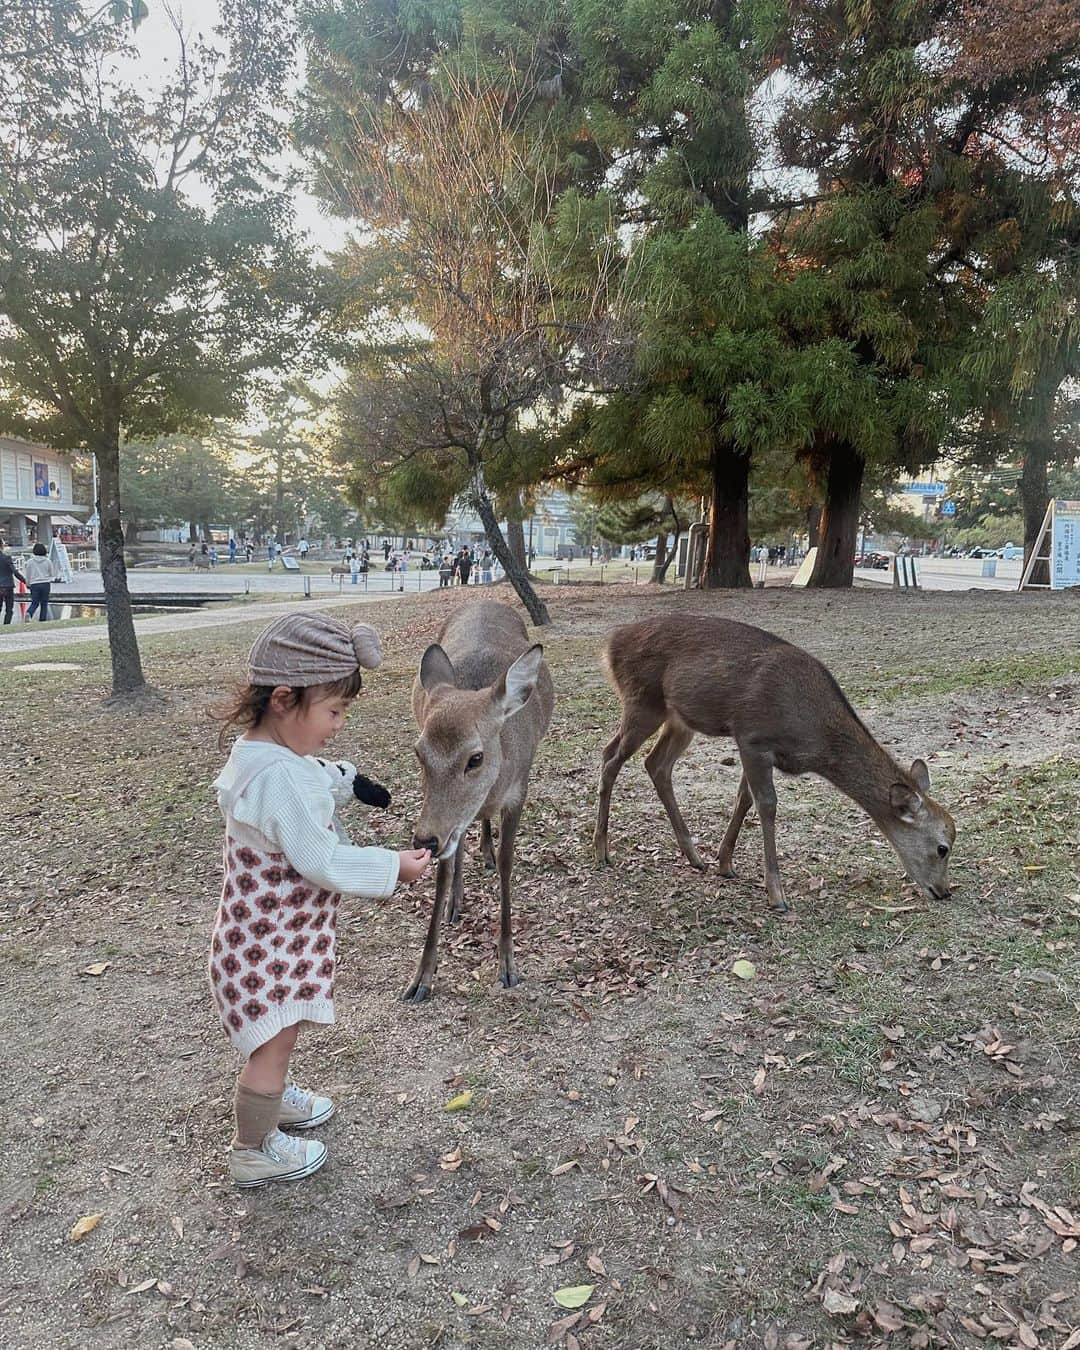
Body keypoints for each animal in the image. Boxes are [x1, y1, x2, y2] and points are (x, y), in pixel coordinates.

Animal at [407, 602, 556, 1004]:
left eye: (475, 758)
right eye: (419, 753)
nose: (425, 839)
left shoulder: (519, 791)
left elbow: (507, 862)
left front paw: (508, 965)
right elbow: (443, 871)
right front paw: (420, 978)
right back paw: (455, 902)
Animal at [594, 615, 955, 912]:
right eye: (942, 847)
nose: (943, 891)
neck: (816, 740)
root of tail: (610, 645)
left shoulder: (755, 748)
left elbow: (744, 799)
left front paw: (725, 863)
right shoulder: (753, 737)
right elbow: (766, 804)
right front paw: (776, 895)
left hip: (679, 719)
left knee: (655, 764)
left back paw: (694, 856)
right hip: (642, 701)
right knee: (610, 756)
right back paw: (601, 851)